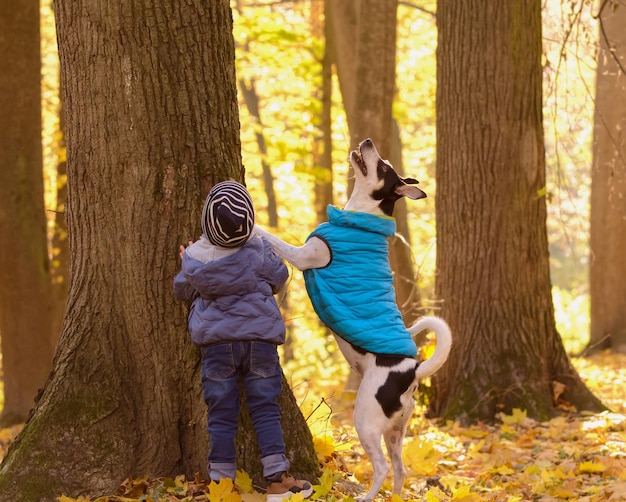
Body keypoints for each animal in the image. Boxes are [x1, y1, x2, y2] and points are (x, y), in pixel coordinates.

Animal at [251, 138, 450, 502]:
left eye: (383, 166)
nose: (368, 141)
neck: (361, 217)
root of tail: (413, 371)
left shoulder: (304, 255)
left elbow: (272, 237)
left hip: (365, 421)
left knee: (382, 467)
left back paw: (367, 496)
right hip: (396, 430)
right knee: (400, 469)